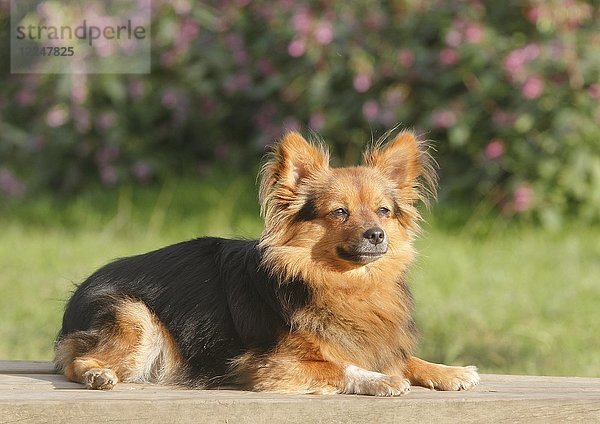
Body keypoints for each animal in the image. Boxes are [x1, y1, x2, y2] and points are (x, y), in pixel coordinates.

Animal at [55, 131, 478, 396]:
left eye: (383, 211)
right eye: (340, 212)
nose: (376, 234)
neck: (345, 283)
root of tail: (79, 291)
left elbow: (403, 359)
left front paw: (448, 371)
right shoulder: (269, 364)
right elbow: (339, 366)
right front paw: (379, 380)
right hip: (135, 318)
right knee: (75, 362)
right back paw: (97, 374)